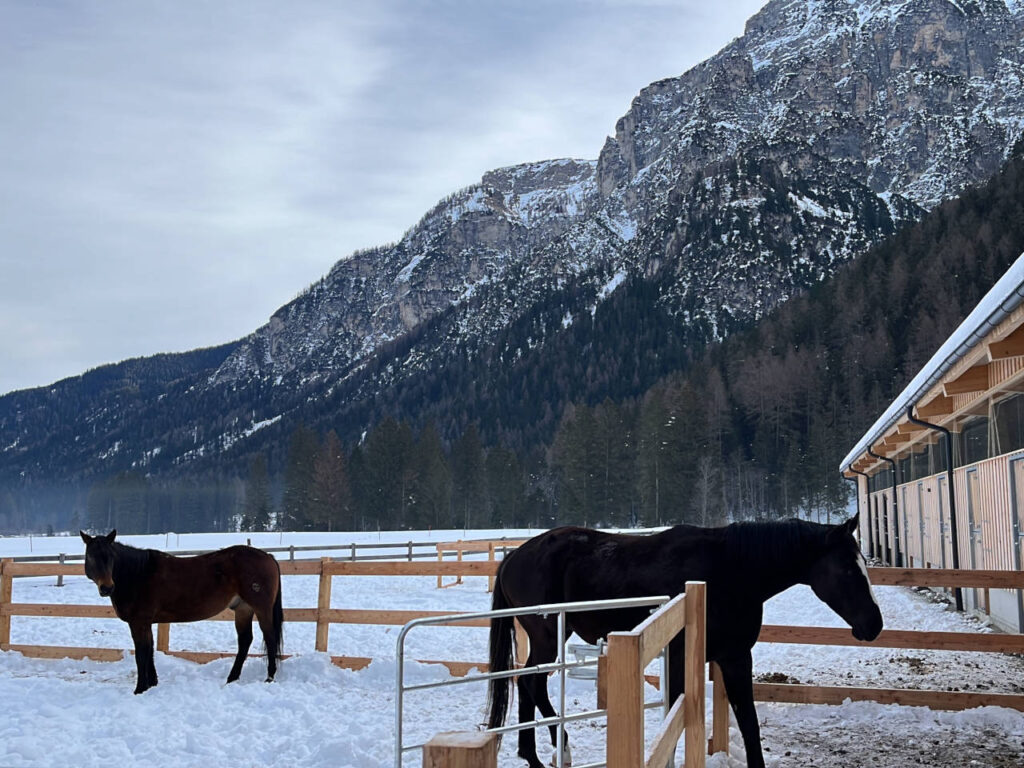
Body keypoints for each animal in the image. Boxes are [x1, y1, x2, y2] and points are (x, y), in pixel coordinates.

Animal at [79, 532, 284, 696]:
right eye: (90, 556)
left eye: (111, 556)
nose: (107, 588)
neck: (138, 574)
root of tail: (268, 556)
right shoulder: (147, 622)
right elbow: (150, 650)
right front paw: (152, 684)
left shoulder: (138, 622)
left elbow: (141, 654)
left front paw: (140, 689)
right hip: (243, 609)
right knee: (245, 641)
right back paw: (231, 678)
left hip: (261, 609)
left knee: (270, 638)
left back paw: (269, 677)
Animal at [485, 514, 880, 768]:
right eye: (847, 568)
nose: (874, 624)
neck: (729, 571)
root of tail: (513, 558)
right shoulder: (679, 657)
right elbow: (674, 723)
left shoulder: (735, 657)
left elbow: (749, 725)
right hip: (547, 637)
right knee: (533, 684)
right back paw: (560, 749)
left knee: (525, 682)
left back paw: (532, 757)